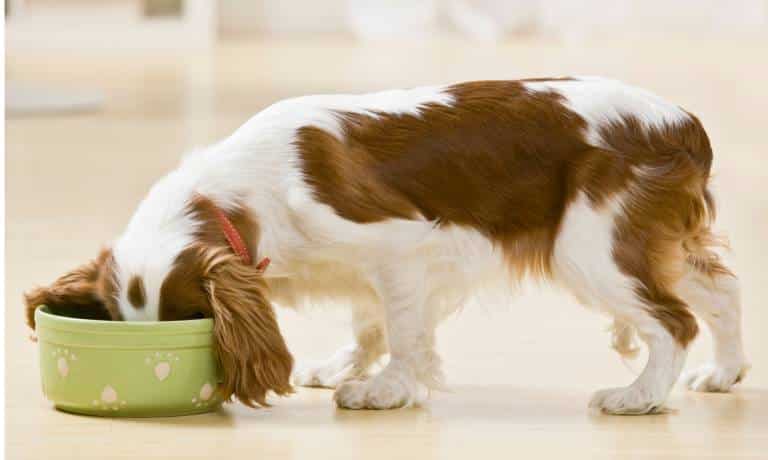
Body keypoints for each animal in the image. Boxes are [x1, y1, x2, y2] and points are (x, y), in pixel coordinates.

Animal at [25, 78, 752, 414]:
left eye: (192, 321)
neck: (243, 195)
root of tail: (684, 124)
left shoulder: (399, 248)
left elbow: (403, 332)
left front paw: (384, 390)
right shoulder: (362, 271)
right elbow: (368, 321)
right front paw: (346, 365)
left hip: (592, 248)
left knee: (672, 321)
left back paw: (639, 397)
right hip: (653, 240)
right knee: (720, 290)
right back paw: (724, 373)